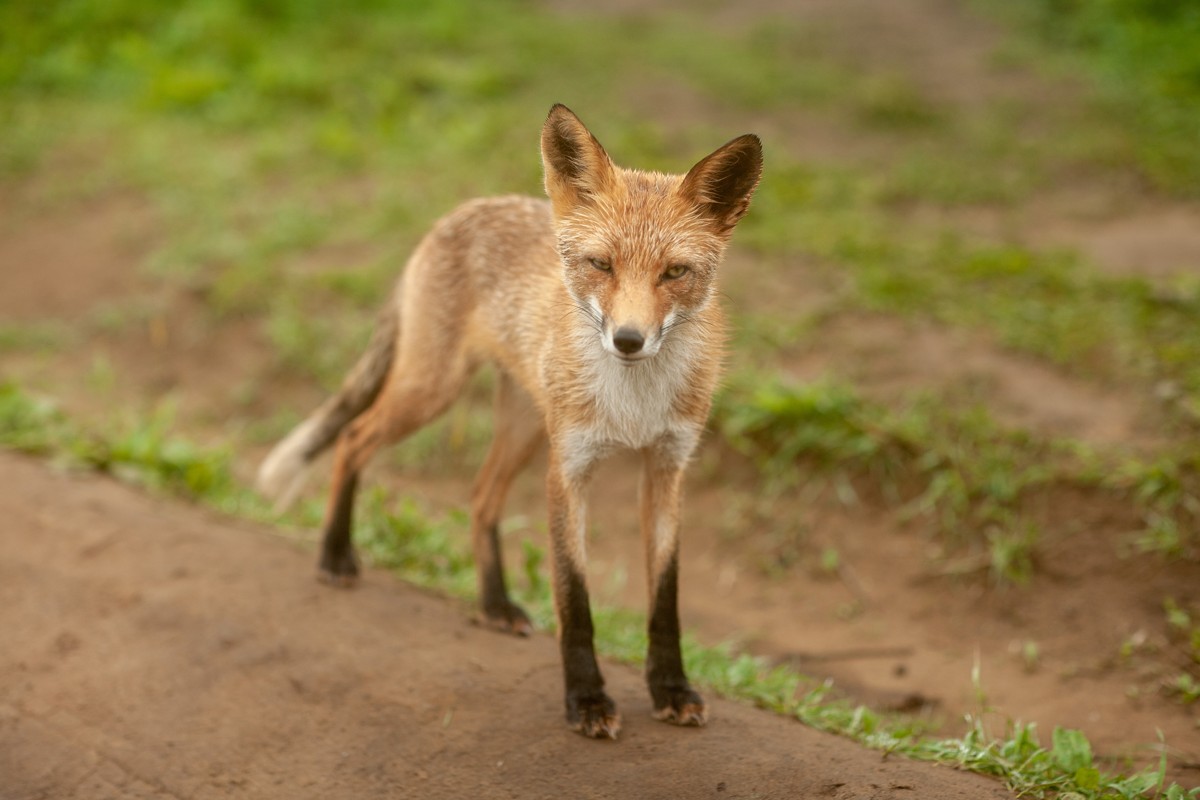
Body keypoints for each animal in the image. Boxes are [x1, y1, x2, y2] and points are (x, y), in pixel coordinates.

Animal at [255, 103, 758, 743]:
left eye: (674, 273)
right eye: (601, 264)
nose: (628, 340)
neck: (633, 404)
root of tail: (461, 211)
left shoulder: (667, 467)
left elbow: (665, 600)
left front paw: (670, 689)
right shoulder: (568, 469)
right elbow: (574, 600)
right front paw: (586, 700)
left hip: (522, 427)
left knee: (479, 495)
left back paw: (493, 604)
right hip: (434, 391)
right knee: (353, 436)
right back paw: (334, 556)